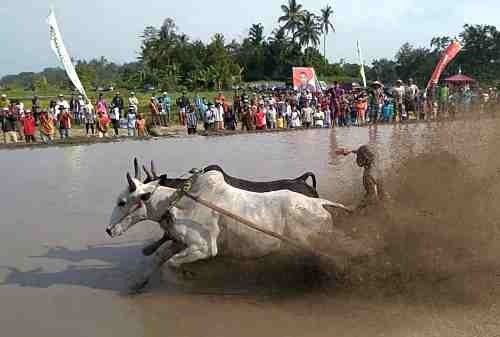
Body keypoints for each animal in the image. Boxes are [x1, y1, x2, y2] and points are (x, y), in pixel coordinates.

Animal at [106, 159, 352, 290]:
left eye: (122, 202)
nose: (109, 230)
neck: (178, 201)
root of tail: (320, 203)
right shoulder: (179, 242)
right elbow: (159, 257)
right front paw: (137, 285)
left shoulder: (203, 248)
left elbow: (170, 265)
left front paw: (185, 279)